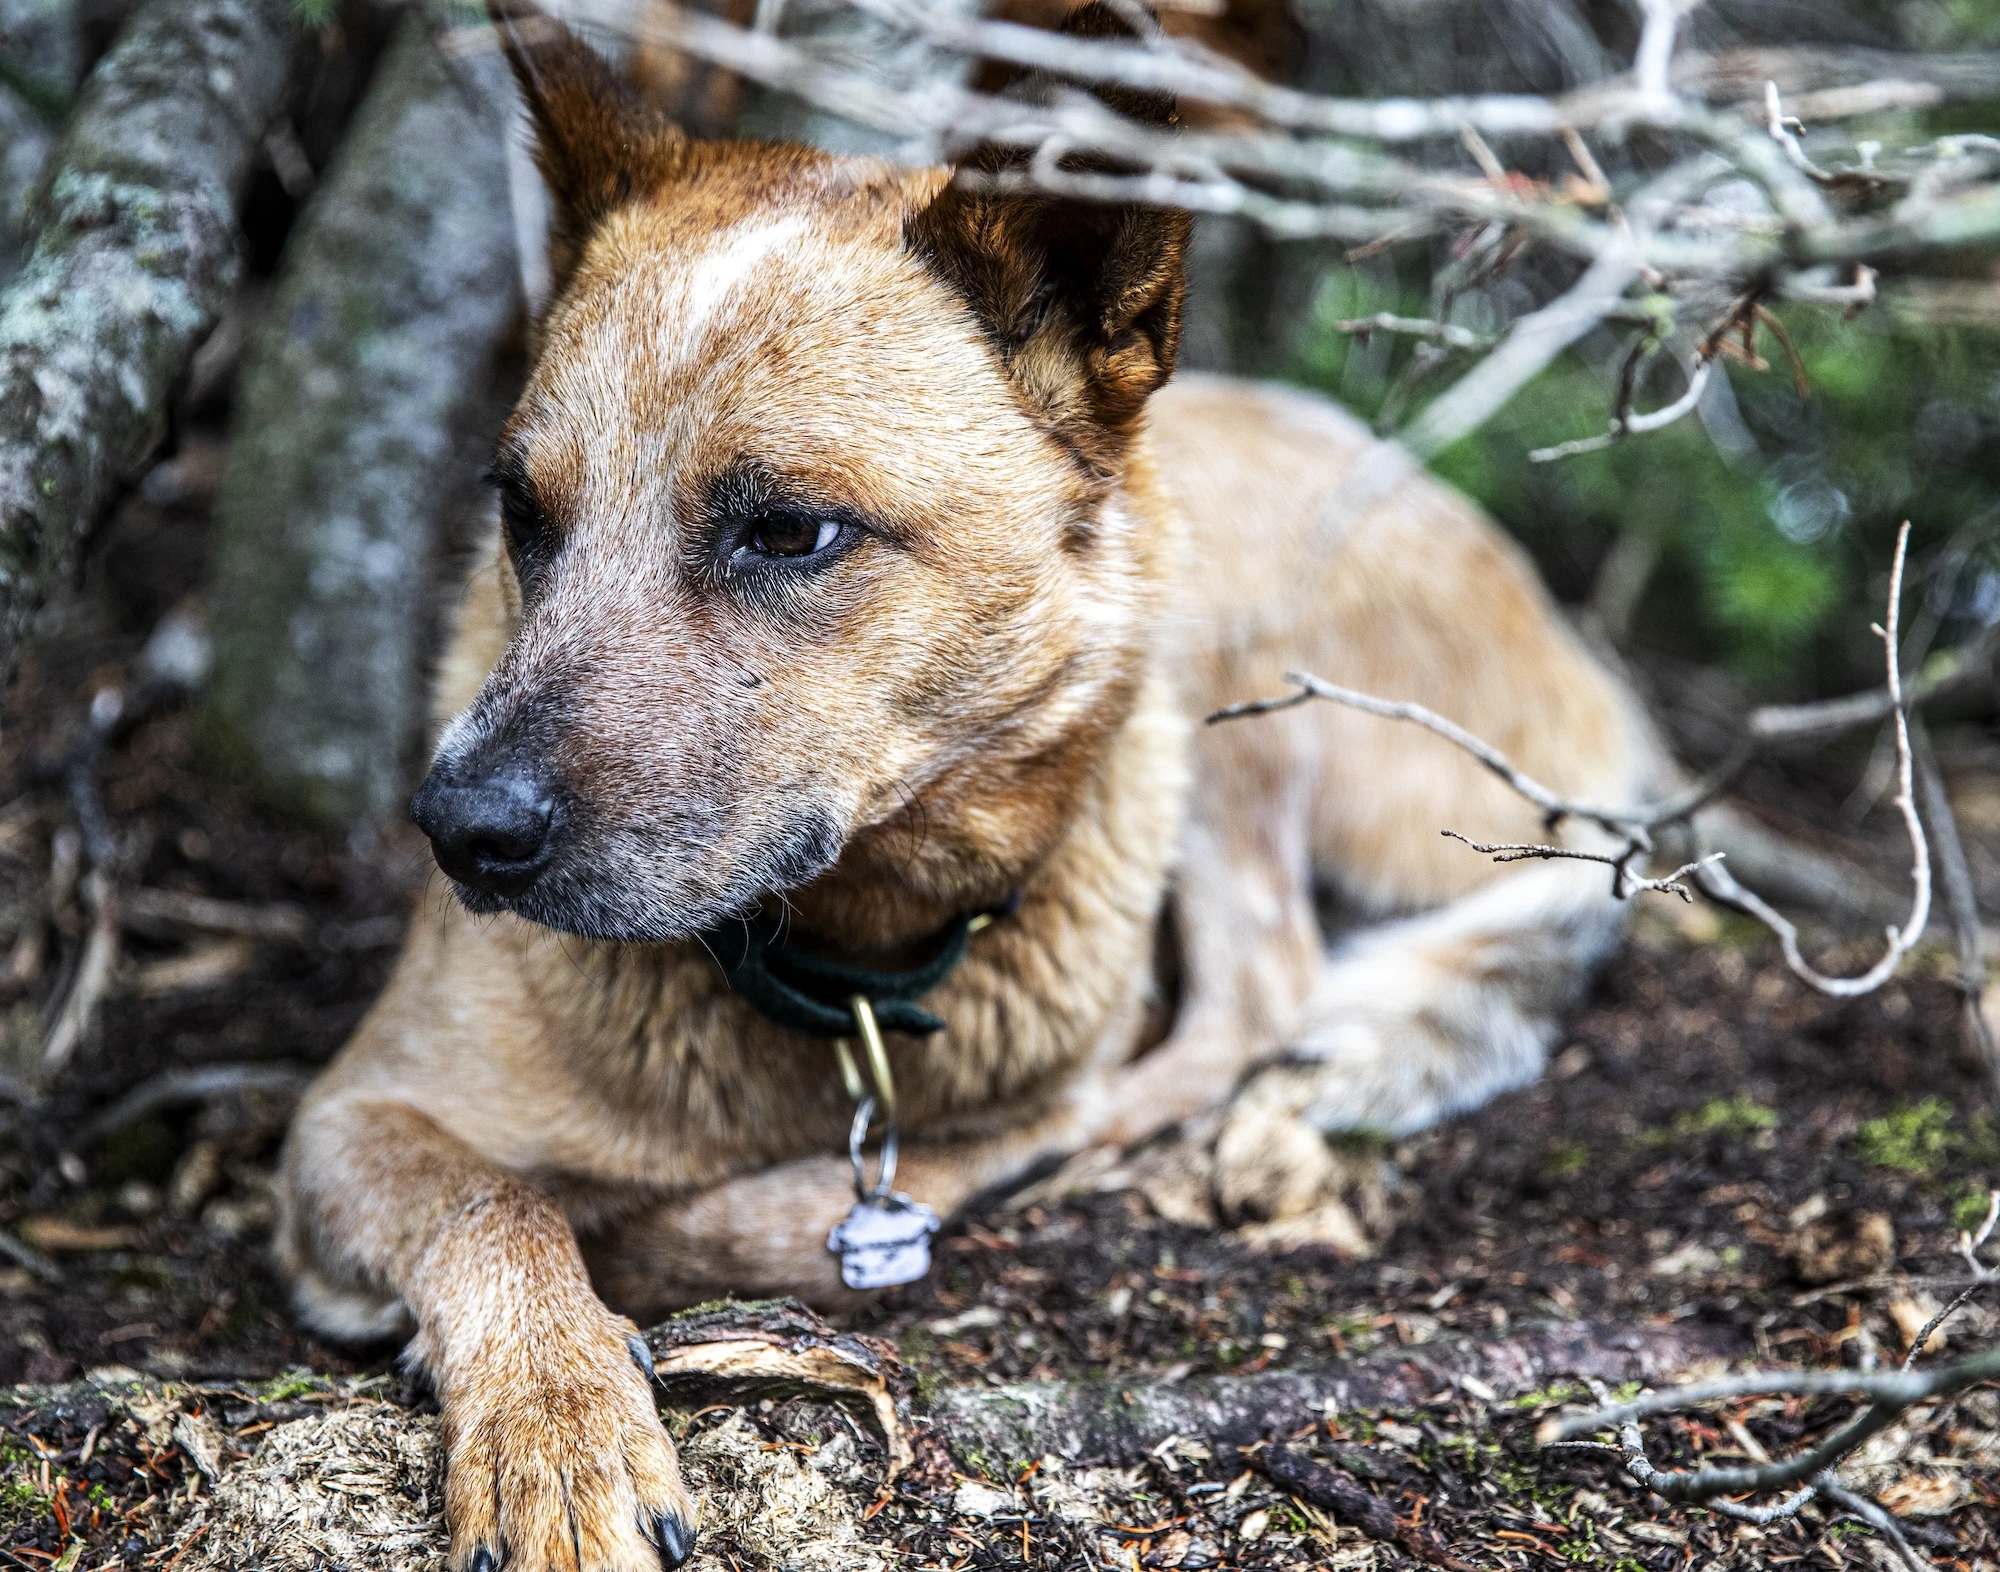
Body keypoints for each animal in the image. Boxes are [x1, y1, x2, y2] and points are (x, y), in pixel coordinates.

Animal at [274, 6, 1648, 1560]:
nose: (458, 832)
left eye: (789, 531)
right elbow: (496, 1204)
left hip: (1230, 661)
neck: (845, 966)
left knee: (1259, 994)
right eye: (522, 513)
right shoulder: (348, 1117)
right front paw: (555, 1427)